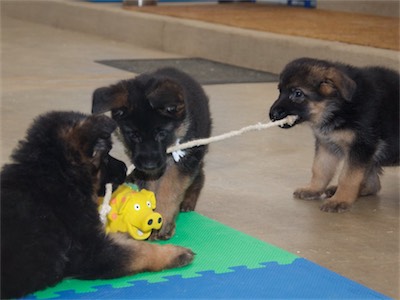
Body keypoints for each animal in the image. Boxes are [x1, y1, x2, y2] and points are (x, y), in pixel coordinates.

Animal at [1, 111, 195, 298]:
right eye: (105, 156)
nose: (125, 168)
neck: (54, 178)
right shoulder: (90, 252)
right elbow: (140, 252)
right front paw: (173, 253)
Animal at [92, 67, 212, 239]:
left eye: (161, 134)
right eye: (133, 135)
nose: (149, 165)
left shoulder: (182, 160)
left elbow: (170, 188)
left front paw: (164, 220)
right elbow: (151, 189)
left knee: (199, 174)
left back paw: (189, 199)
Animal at [270, 58, 398, 213]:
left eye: (298, 93)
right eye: (280, 90)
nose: (272, 115)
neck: (338, 106)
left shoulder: (360, 148)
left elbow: (348, 177)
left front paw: (340, 200)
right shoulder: (326, 145)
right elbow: (320, 169)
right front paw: (314, 189)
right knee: (374, 184)